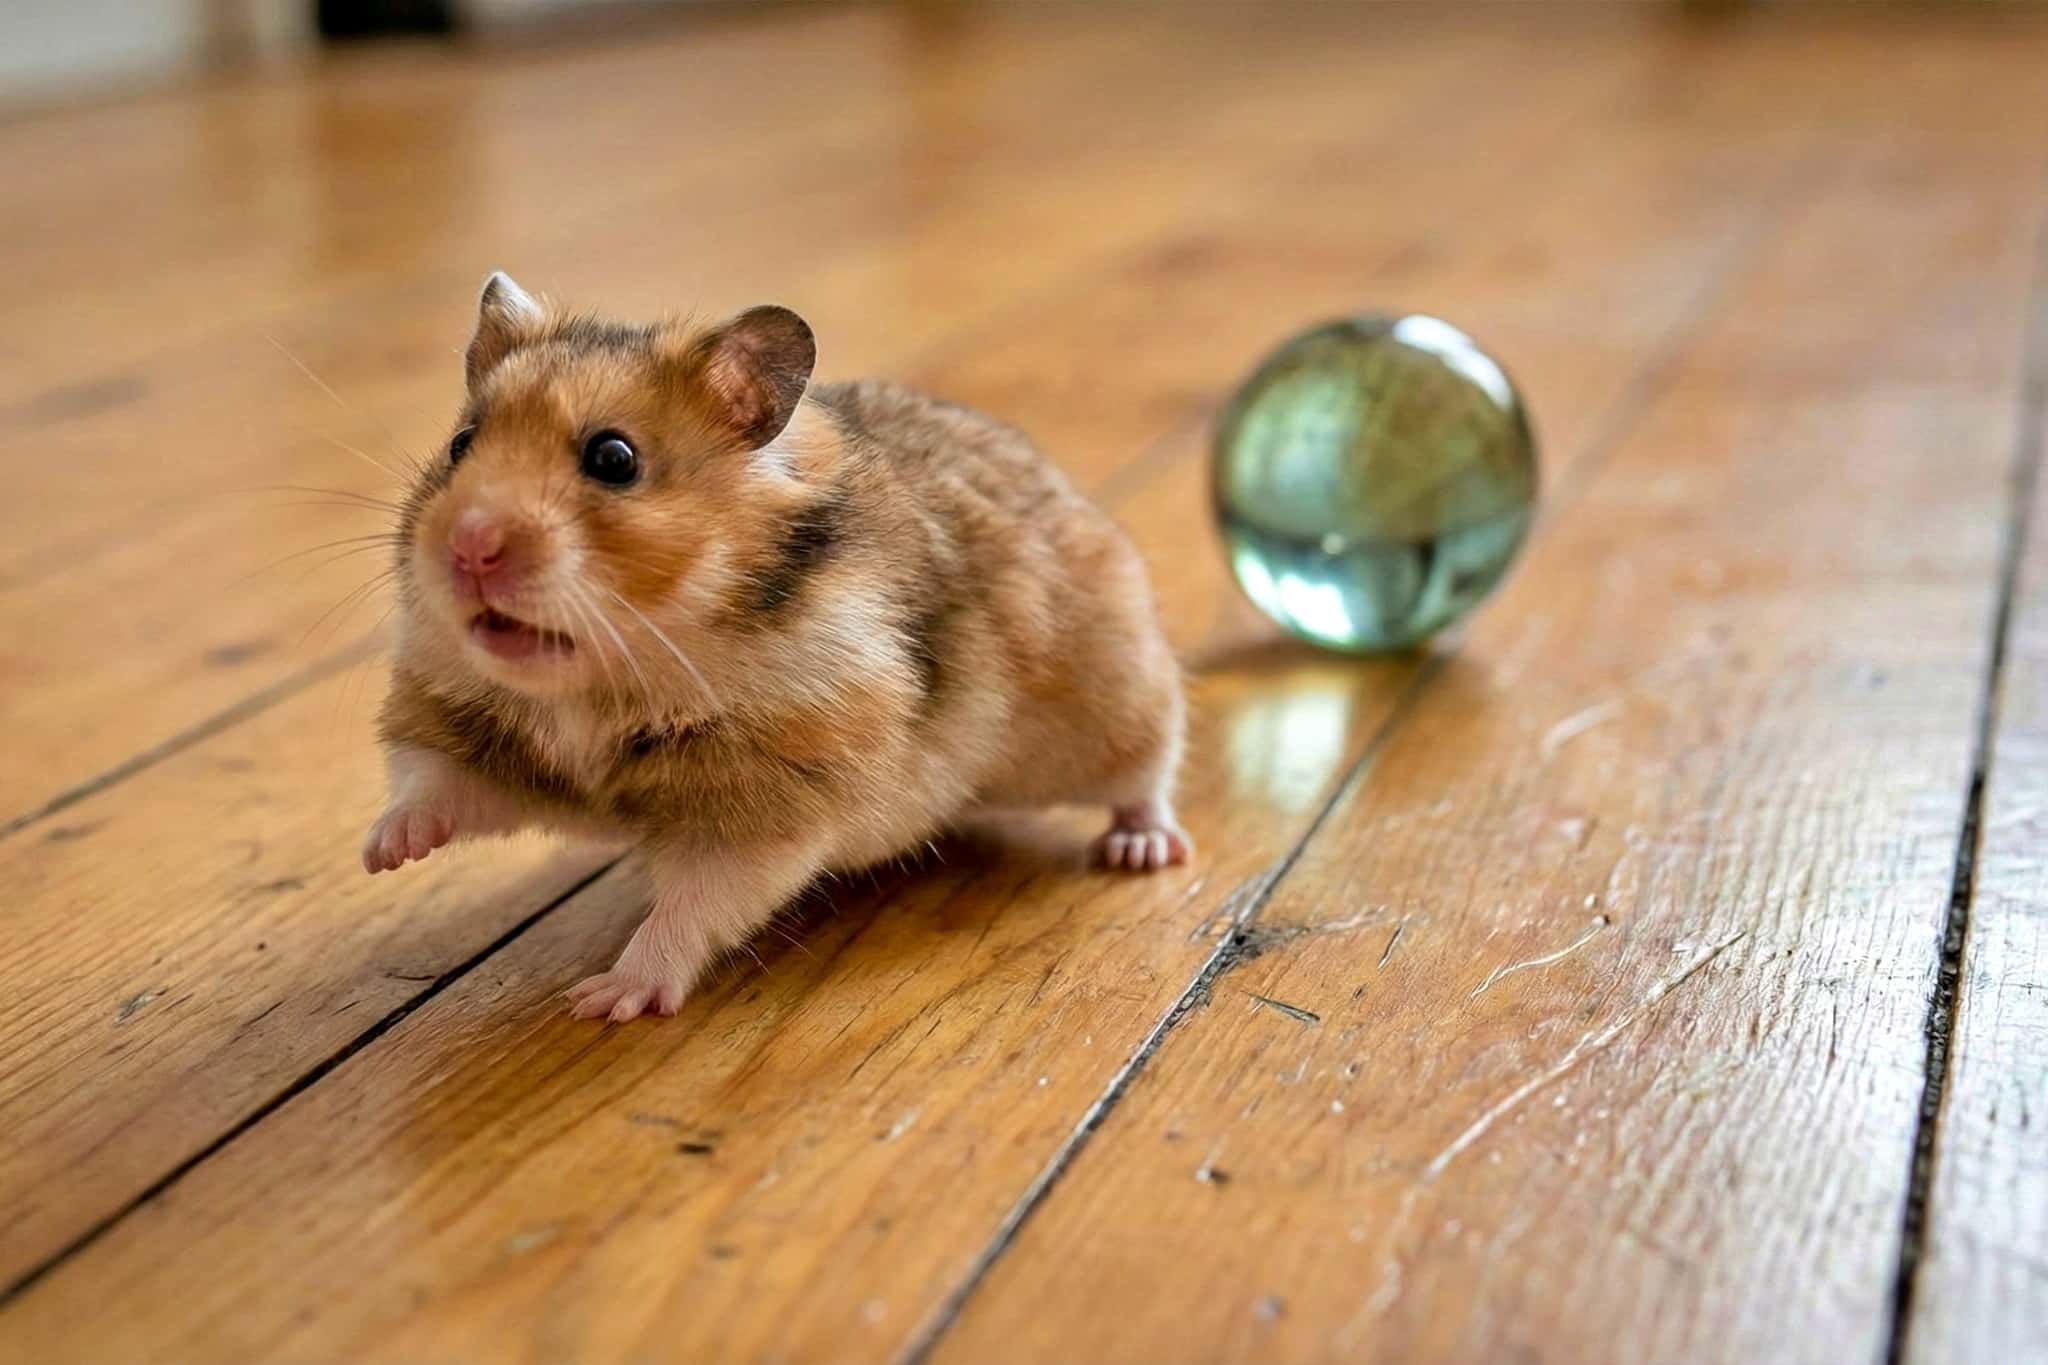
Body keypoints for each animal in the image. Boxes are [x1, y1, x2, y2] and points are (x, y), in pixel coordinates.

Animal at [364, 272, 1190, 1022]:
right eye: (461, 444)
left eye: (614, 459)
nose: (468, 547)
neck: (605, 681)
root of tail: (1053, 474)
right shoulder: (483, 739)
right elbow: (434, 783)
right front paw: (382, 853)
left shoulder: (768, 807)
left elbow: (694, 906)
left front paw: (605, 1000)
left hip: (1117, 696)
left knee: (1149, 772)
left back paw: (1142, 850)